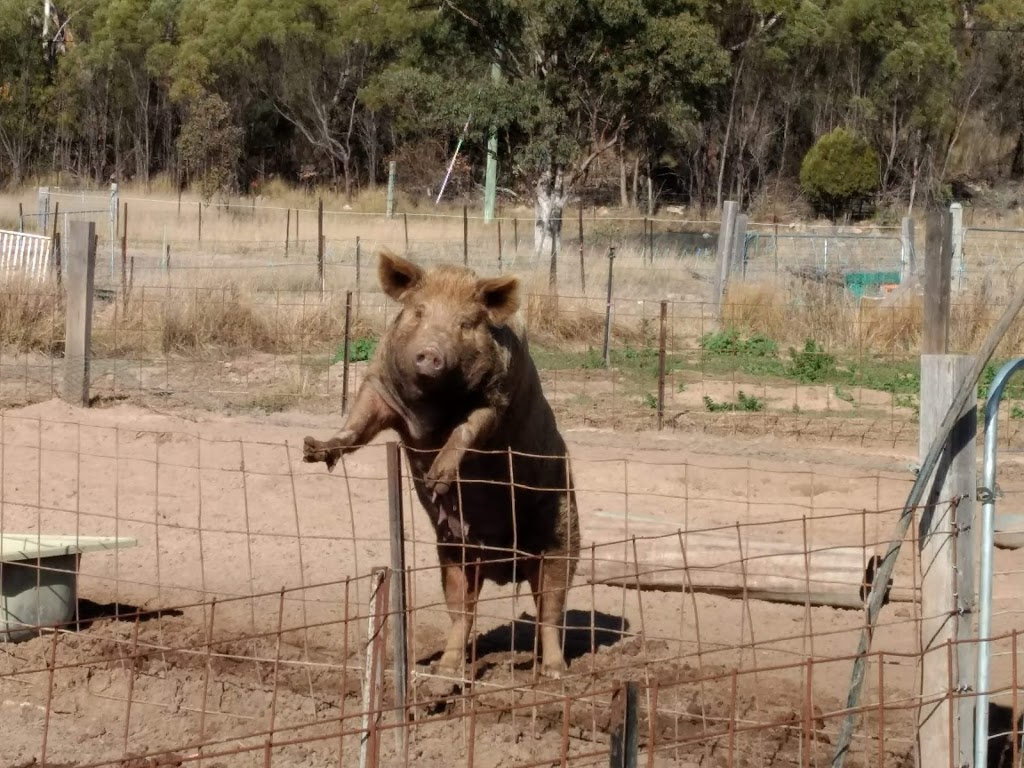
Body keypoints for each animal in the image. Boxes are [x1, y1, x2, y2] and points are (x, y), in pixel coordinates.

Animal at [299, 249, 581, 675]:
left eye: (466, 324)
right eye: (418, 311)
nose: (431, 352)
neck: (431, 409)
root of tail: (504, 565)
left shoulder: (497, 399)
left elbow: (466, 430)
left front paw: (438, 479)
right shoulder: (379, 388)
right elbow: (357, 424)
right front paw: (314, 450)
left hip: (562, 538)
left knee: (550, 610)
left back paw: (553, 672)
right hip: (453, 552)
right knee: (463, 613)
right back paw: (444, 671)